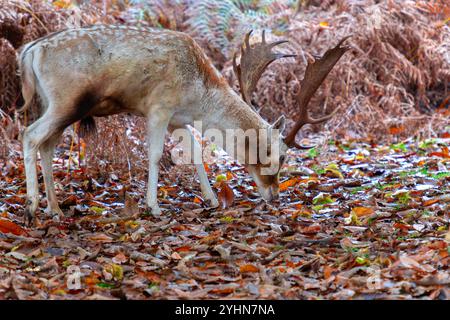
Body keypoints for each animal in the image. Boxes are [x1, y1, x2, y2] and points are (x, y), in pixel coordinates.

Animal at [16, 25, 348, 224]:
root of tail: (31, 50)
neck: (197, 96)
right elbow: (154, 155)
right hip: (67, 99)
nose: (275, 197)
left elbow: (197, 153)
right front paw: (153, 206)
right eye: (279, 156)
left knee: (47, 145)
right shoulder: (158, 106)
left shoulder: (178, 119)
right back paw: (32, 205)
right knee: (29, 134)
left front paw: (212, 200)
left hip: (54, 103)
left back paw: (55, 208)